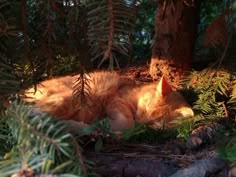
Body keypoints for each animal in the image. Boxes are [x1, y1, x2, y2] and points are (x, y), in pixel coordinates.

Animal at [23, 71, 194, 131]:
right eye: (146, 107)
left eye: (153, 122)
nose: (141, 120)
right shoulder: (115, 101)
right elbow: (127, 122)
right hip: (69, 98)